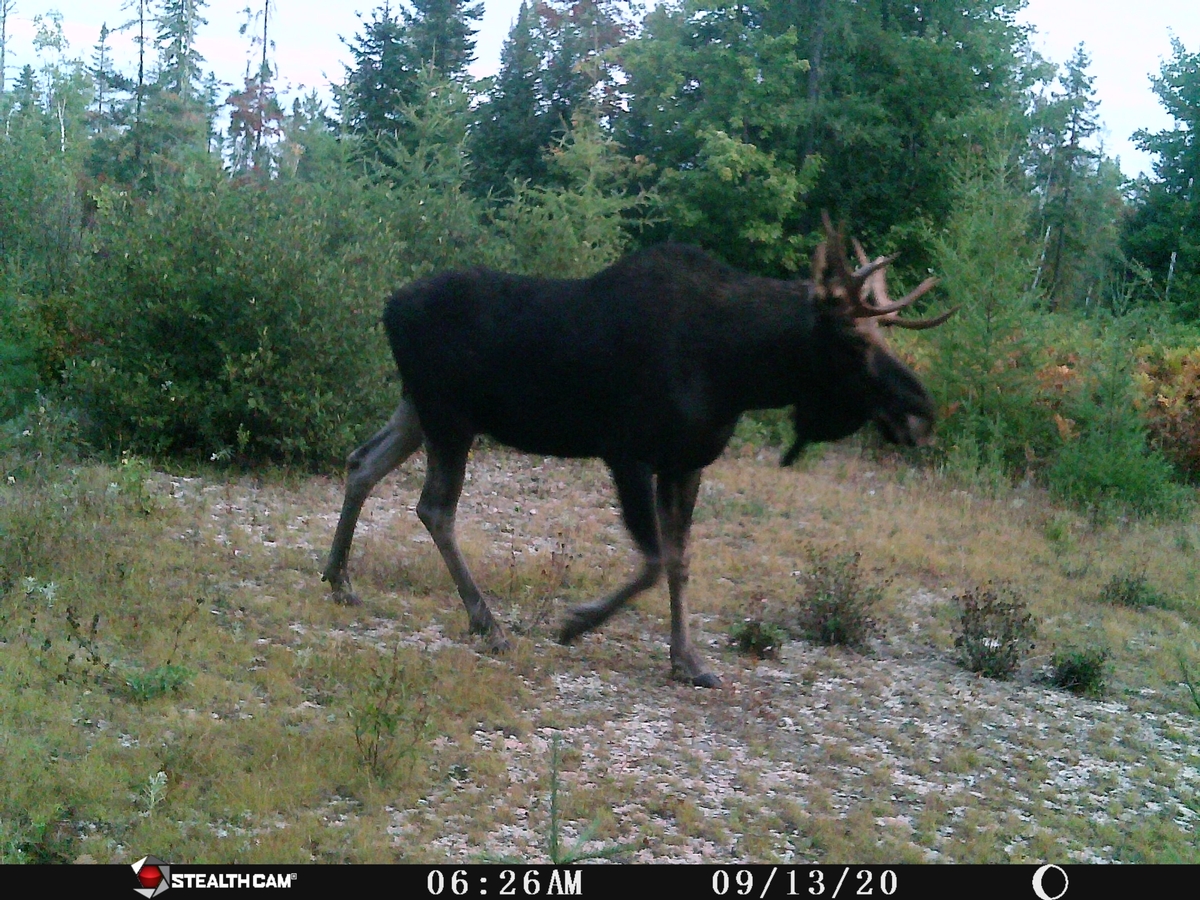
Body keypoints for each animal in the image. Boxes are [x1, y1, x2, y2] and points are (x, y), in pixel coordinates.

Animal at [322, 216, 953, 687]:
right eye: (852, 341)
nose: (921, 413)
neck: (738, 372)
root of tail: (388, 308)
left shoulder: (687, 463)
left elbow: (679, 561)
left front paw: (689, 660)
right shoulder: (626, 452)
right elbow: (653, 561)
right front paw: (576, 623)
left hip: (418, 406)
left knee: (361, 463)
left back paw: (340, 579)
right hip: (449, 415)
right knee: (434, 507)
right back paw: (487, 623)